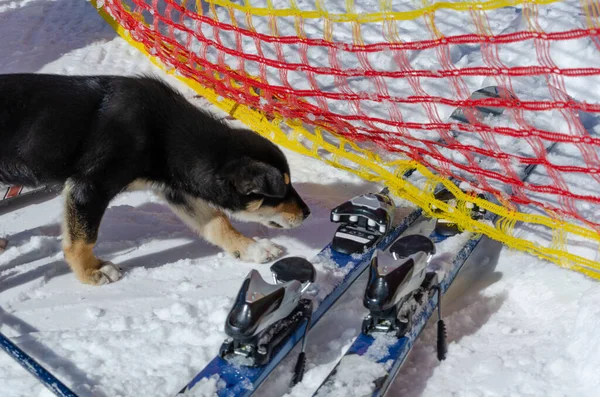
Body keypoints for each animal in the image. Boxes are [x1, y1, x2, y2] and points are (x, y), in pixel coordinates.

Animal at [0, 73, 310, 284]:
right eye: (280, 192)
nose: (307, 213)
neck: (166, 133)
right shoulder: (89, 187)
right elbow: (82, 238)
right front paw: (92, 272)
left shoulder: (176, 188)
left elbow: (217, 222)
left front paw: (252, 249)